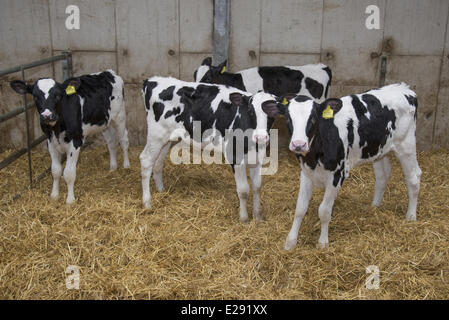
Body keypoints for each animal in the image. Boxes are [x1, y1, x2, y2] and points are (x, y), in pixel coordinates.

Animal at [10, 70, 130, 205]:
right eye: (35, 96)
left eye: (57, 95)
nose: (47, 116)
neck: (57, 128)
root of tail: (108, 72)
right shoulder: (50, 142)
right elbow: (55, 171)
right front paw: (54, 195)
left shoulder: (76, 141)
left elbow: (68, 173)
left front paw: (70, 200)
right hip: (104, 123)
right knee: (111, 142)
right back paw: (113, 167)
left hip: (120, 116)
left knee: (123, 140)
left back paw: (126, 165)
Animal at [141, 77, 280, 222]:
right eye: (250, 110)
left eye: (273, 112)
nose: (261, 137)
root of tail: (152, 80)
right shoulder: (235, 156)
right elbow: (243, 190)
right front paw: (244, 218)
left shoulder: (258, 158)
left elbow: (257, 187)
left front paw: (258, 216)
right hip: (156, 135)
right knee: (146, 161)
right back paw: (147, 203)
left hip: (166, 138)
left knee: (158, 163)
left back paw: (161, 191)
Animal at [262, 84, 420, 249]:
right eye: (288, 118)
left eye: (313, 118)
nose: (298, 144)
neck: (314, 156)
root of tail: (404, 88)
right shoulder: (306, 172)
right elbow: (300, 208)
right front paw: (290, 242)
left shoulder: (337, 175)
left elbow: (324, 211)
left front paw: (323, 242)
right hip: (378, 150)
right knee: (383, 176)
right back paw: (374, 207)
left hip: (406, 145)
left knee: (414, 179)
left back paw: (411, 216)